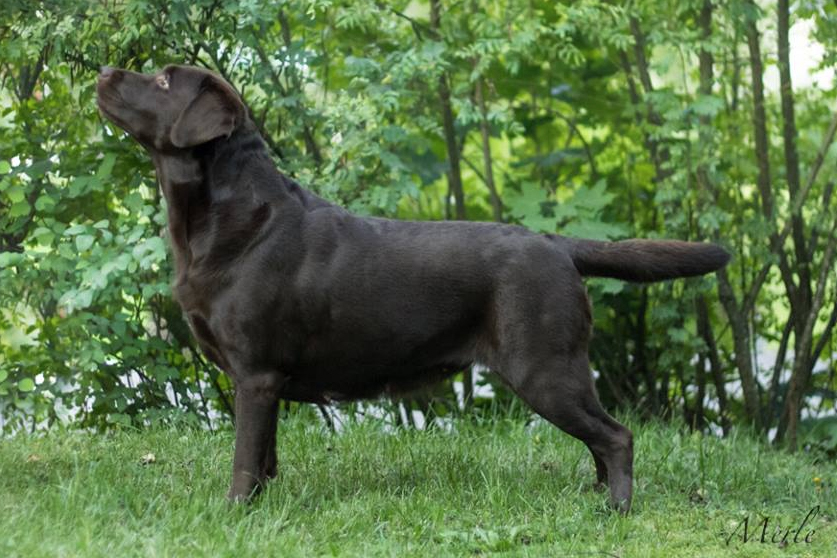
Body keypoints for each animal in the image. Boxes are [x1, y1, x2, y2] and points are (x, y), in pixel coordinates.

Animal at [96, 63, 724, 516]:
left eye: (161, 82)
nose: (103, 71)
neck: (227, 218)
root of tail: (556, 244)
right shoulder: (262, 382)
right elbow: (265, 456)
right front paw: (261, 504)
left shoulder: (256, 374)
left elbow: (244, 458)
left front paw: (232, 513)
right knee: (601, 438)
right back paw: (594, 494)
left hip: (545, 368)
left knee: (617, 436)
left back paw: (616, 509)